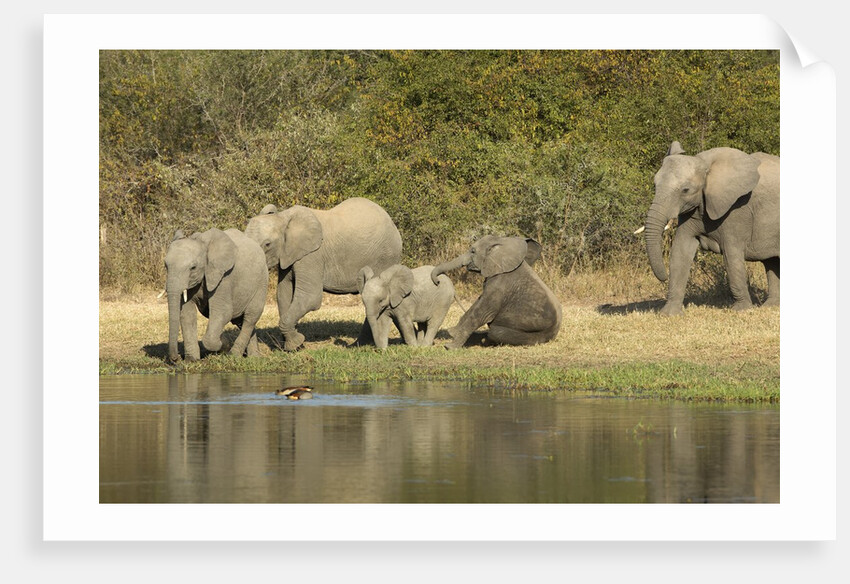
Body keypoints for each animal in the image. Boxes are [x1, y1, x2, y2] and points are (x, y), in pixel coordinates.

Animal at [164, 228, 268, 362]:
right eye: (166, 265)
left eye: (193, 268)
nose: (175, 359)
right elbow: (187, 314)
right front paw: (191, 361)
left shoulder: (224, 277)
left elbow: (223, 312)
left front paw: (224, 343)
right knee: (240, 320)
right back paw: (254, 358)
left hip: (262, 282)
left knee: (250, 317)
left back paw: (234, 355)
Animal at [245, 197, 403, 351]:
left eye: (267, 244)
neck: (283, 217)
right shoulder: (288, 256)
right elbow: (283, 295)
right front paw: (290, 346)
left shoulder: (312, 255)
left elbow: (310, 297)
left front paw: (296, 344)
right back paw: (358, 345)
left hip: (385, 258)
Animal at [430, 235, 562, 348]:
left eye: (473, 251)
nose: (437, 282)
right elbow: (476, 304)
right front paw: (452, 332)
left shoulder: (500, 284)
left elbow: (482, 313)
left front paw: (449, 346)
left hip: (537, 334)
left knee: (495, 332)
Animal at [644, 141, 780, 315]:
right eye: (655, 185)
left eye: (685, 190)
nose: (663, 277)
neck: (705, 165)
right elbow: (680, 251)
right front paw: (669, 314)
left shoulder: (737, 209)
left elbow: (731, 256)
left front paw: (741, 310)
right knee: (772, 262)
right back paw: (771, 306)